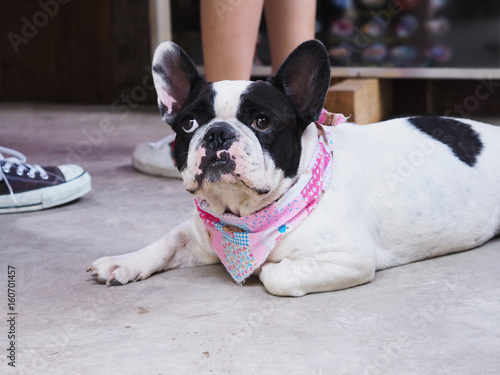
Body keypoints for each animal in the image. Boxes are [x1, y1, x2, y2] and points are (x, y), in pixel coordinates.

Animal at [88, 38, 498, 296]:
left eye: (263, 122)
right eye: (188, 124)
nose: (217, 133)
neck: (245, 218)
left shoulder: (350, 258)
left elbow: (276, 276)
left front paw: (265, 268)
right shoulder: (196, 233)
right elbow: (166, 242)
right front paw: (124, 262)